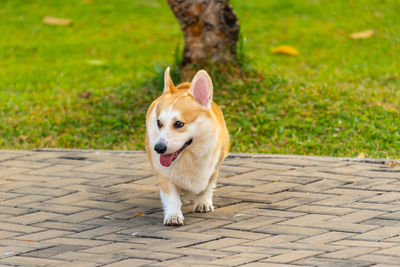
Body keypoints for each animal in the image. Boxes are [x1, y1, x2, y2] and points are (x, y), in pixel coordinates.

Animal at [146, 67, 228, 226]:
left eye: (178, 124)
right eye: (159, 123)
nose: (158, 148)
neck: (188, 155)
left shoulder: (213, 168)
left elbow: (206, 187)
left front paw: (203, 203)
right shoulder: (164, 174)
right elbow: (171, 197)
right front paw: (173, 215)